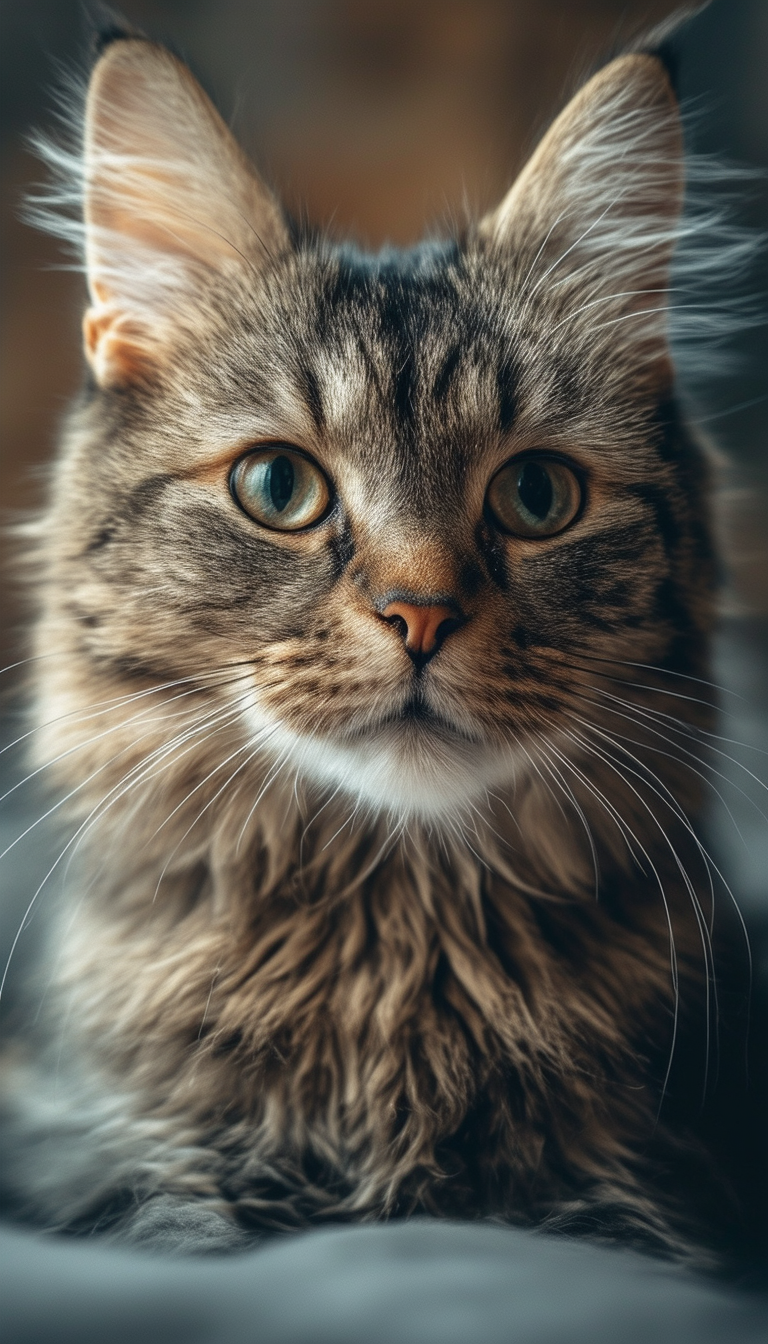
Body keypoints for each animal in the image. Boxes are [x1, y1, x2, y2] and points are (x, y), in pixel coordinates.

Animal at [0, 21, 747, 1257]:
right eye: (276, 486)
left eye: (537, 496)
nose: (422, 614)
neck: (393, 958)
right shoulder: (100, 1150)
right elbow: (176, 1216)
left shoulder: (644, 1196)